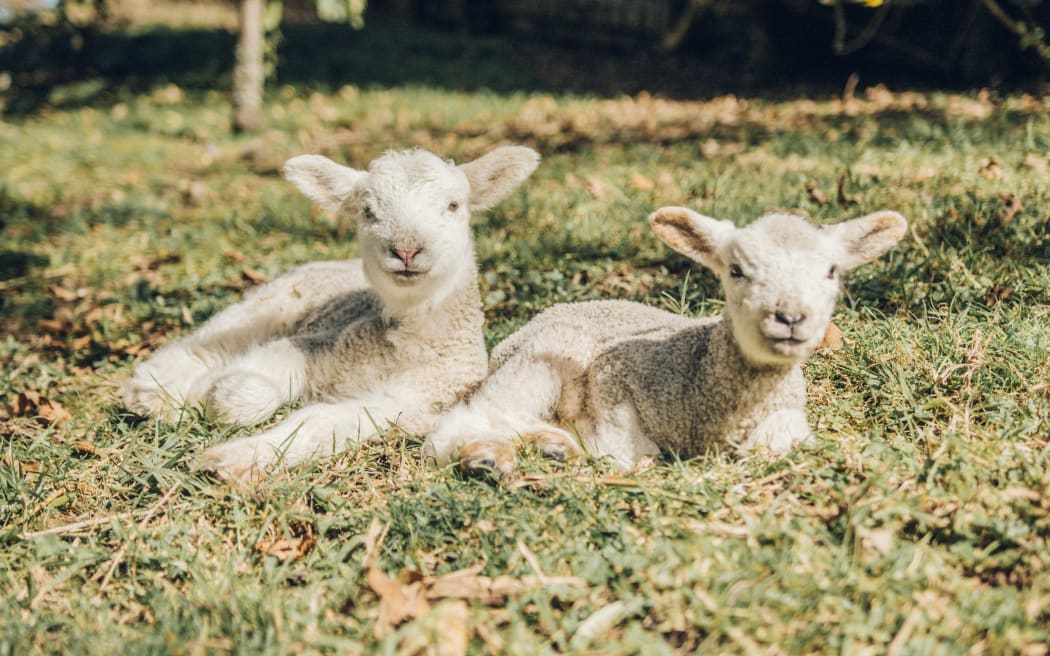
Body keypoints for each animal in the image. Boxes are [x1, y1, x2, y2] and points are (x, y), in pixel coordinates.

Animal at [120, 144, 541, 480]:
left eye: (453, 206)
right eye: (367, 211)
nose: (406, 250)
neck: (405, 349)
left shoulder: (407, 405)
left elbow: (317, 422)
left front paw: (232, 458)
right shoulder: (317, 344)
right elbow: (249, 389)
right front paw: (214, 393)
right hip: (266, 307)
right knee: (200, 348)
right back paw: (149, 394)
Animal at [422, 205, 907, 476]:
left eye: (831, 271)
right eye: (736, 270)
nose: (790, 317)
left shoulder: (788, 418)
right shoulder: (615, 380)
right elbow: (628, 448)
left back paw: (552, 447)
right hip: (544, 357)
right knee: (468, 420)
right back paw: (488, 458)